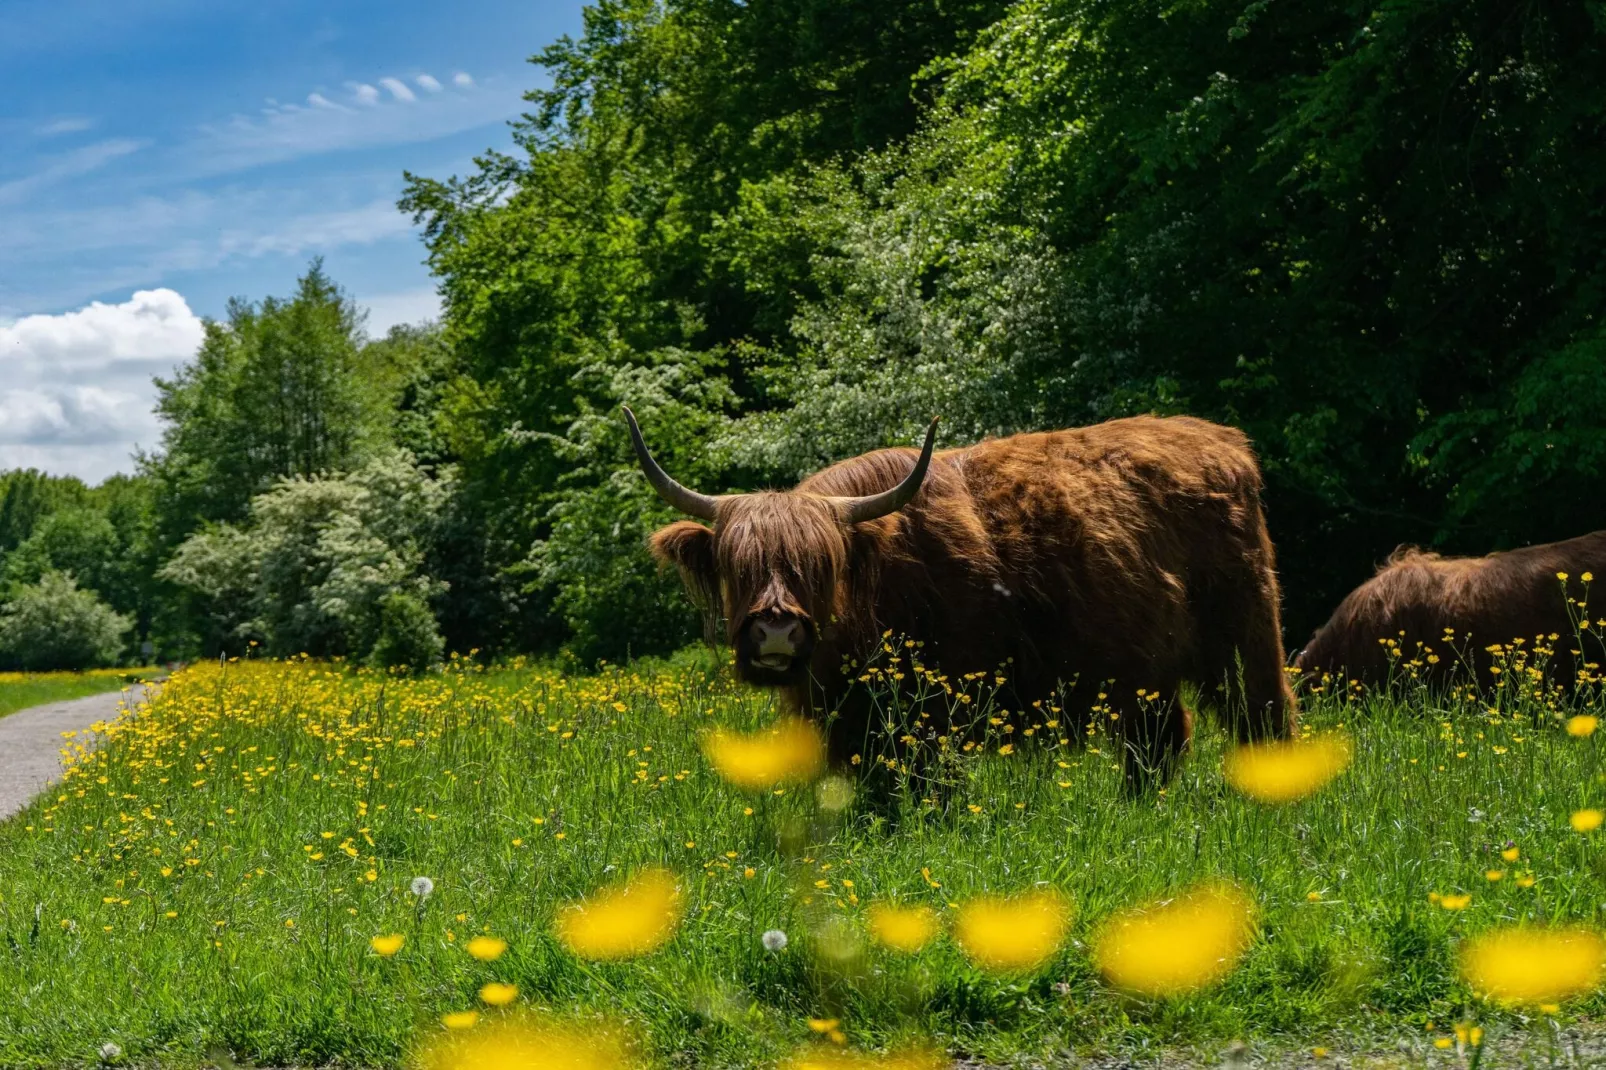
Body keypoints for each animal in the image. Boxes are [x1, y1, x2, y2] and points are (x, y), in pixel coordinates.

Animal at [619, 406, 1297, 784]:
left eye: (821, 565)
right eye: (739, 566)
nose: (778, 631)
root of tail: (1220, 440)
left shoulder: (939, 708)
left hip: (1247, 637)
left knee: (1262, 717)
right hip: (1147, 672)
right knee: (1160, 738)